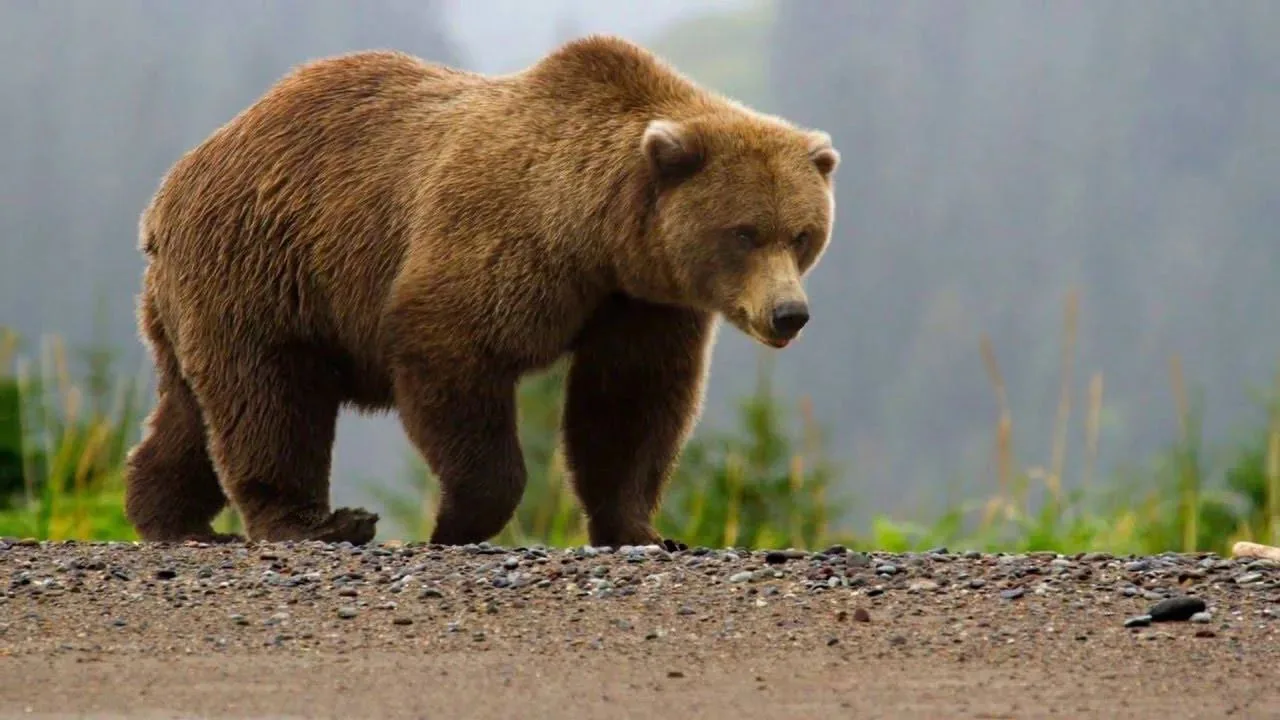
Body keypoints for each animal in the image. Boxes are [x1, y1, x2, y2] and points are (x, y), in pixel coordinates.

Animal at [123, 34, 839, 548]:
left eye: (803, 234)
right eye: (744, 232)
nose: (789, 314)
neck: (599, 236)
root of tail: (170, 188)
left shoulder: (641, 302)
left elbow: (630, 404)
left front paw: (643, 529)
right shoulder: (502, 241)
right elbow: (454, 355)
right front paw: (456, 521)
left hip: (200, 296)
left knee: (192, 410)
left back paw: (170, 516)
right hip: (265, 265)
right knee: (270, 397)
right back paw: (316, 522)